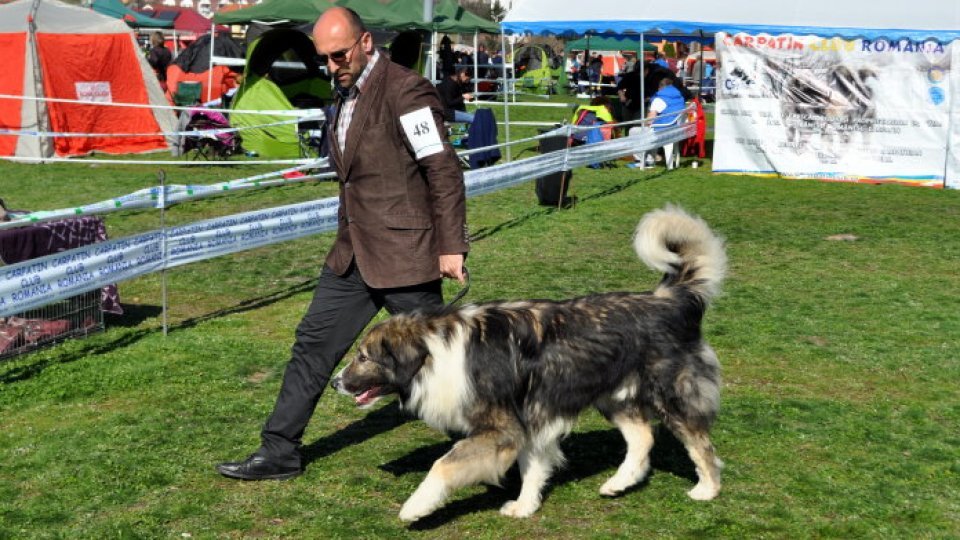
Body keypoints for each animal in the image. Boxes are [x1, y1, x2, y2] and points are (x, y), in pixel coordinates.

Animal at [332, 206, 728, 520]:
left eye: (363, 357)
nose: (335, 382)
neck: (436, 353)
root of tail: (669, 298)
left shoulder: (502, 427)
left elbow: (443, 465)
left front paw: (415, 507)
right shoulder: (528, 422)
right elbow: (533, 468)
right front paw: (525, 506)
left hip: (671, 394)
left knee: (699, 443)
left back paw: (707, 489)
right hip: (613, 395)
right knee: (643, 437)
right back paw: (618, 483)